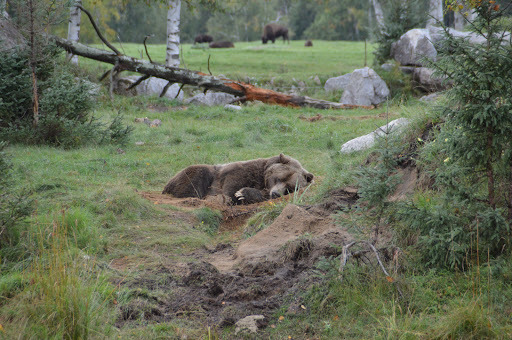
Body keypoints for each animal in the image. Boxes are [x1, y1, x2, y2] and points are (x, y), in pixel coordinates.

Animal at [162, 154, 314, 205]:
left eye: (290, 188)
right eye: (278, 178)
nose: (276, 194)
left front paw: (242, 194)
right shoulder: (243, 170)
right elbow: (232, 182)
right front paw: (232, 197)